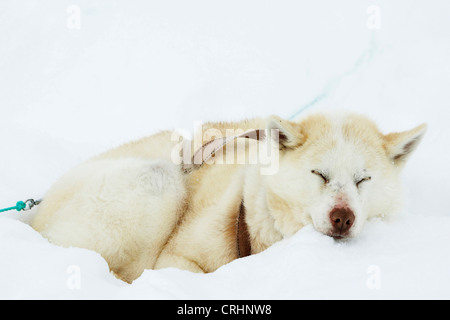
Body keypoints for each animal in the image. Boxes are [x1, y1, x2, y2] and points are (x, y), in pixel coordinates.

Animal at [31, 111, 426, 282]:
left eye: (363, 179)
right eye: (320, 174)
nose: (343, 217)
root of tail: (35, 214)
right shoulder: (174, 259)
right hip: (158, 181)